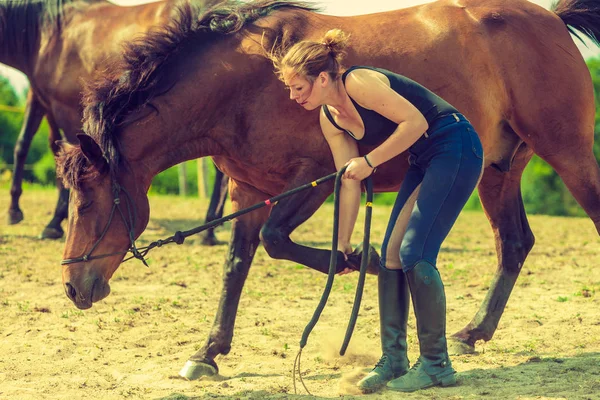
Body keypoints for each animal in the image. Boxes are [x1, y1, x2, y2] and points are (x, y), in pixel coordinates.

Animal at [1, 0, 227, 242]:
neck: (50, 32)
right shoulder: (41, 99)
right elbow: (26, 145)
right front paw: (15, 211)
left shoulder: (64, 108)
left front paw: (55, 221)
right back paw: (211, 229)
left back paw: (210, 229)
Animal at [56, 0, 600, 378]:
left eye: (87, 198)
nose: (72, 288)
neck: (245, 84)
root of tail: (550, 19)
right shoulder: (248, 190)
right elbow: (236, 266)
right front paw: (208, 353)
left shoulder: (315, 177)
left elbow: (276, 241)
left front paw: (365, 260)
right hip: (497, 169)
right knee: (514, 243)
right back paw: (471, 333)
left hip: (567, 151)